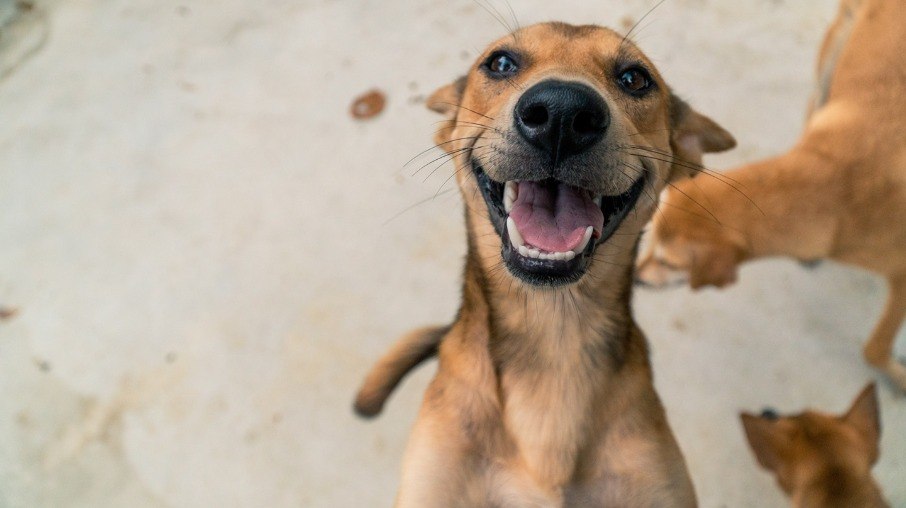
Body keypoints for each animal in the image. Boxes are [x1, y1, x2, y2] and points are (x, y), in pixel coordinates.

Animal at [632, 0, 904, 390]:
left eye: (669, 263)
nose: (636, 279)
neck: (838, 182)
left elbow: (875, 346)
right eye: (649, 243)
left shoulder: (901, 276)